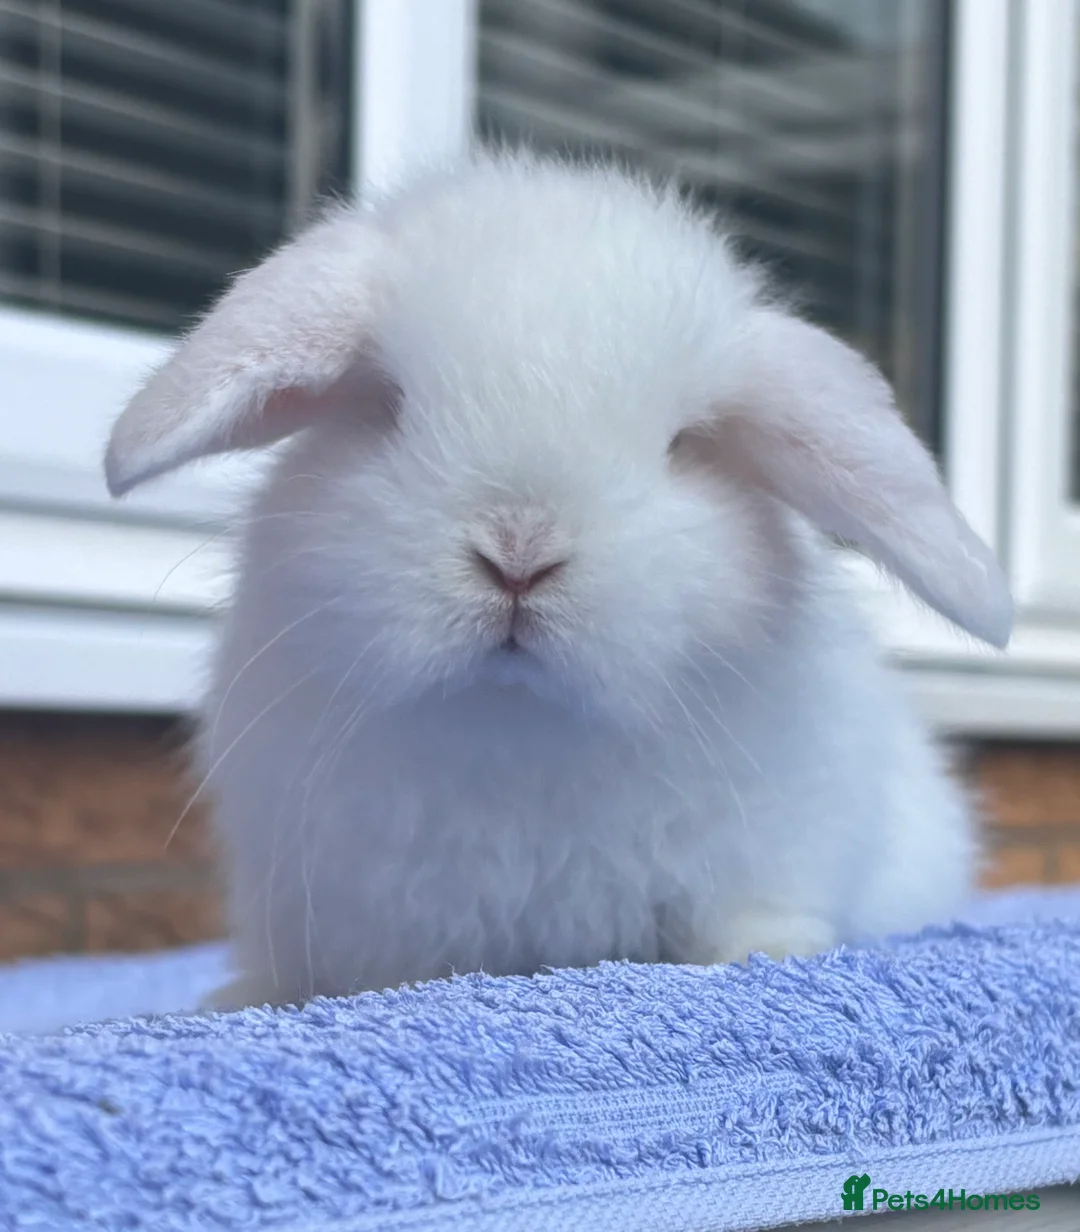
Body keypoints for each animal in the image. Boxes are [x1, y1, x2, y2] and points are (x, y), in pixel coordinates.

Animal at [104, 152, 1012, 1010]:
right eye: (388, 406)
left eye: (683, 445)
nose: (519, 554)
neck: (519, 727)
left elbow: (754, 916)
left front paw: (771, 954)